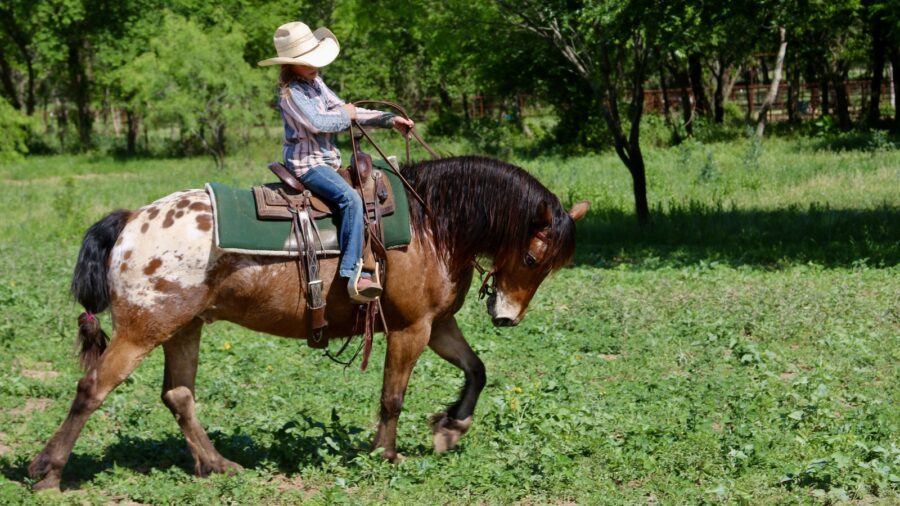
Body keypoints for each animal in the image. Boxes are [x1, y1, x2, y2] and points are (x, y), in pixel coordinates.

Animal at [28, 155, 589, 490]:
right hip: (141, 332)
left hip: (183, 327)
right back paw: (47, 472)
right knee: (92, 388)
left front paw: (451, 427)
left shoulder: (438, 324)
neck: (434, 226)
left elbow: (477, 370)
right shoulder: (410, 329)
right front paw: (385, 454)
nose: (507, 316)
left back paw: (217, 466)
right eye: (534, 258)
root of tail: (130, 221)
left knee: (178, 396)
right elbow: (392, 396)